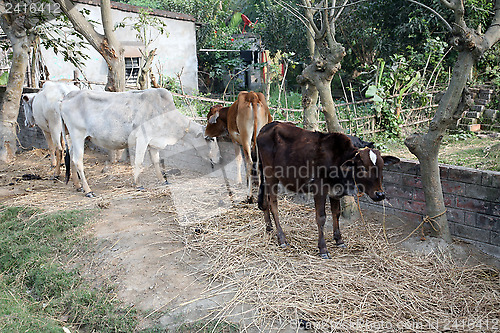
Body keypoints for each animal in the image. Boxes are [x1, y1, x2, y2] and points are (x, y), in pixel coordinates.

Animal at [60, 88, 219, 196]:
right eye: (211, 139)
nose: (219, 158)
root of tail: (68, 96)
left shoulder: (153, 142)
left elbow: (156, 161)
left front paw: (163, 180)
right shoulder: (142, 138)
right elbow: (138, 162)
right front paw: (138, 184)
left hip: (73, 137)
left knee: (72, 157)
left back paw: (77, 185)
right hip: (78, 135)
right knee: (78, 160)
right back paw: (88, 190)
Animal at [256, 120, 400, 258]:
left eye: (382, 166)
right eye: (363, 168)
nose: (380, 194)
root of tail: (267, 127)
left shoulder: (335, 191)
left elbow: (336, 213)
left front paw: (339, 240)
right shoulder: (319, 189)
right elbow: (321, 217)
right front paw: (323, 249)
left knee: (265, 202)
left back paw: (269, 229)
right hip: (271, 176)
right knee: (273, 205)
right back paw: (281, 238)